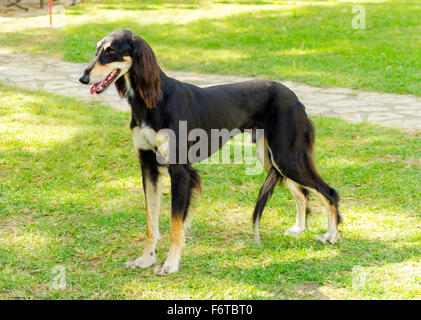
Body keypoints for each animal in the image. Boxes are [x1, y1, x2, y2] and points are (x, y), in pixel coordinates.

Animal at [79, 29, 342, 276]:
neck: (152, 100)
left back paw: (332, 235)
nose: (83, 78)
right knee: (302, 193)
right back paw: (300, 228)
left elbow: (175, 225)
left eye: (111, 51)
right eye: (97, 50)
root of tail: (295, 98)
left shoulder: (180, 171)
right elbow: (150, 223)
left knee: (328, 191)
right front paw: (146, 259)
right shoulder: (148, 166)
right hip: (272, 158)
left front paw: (170, 264)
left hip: (286, 156)